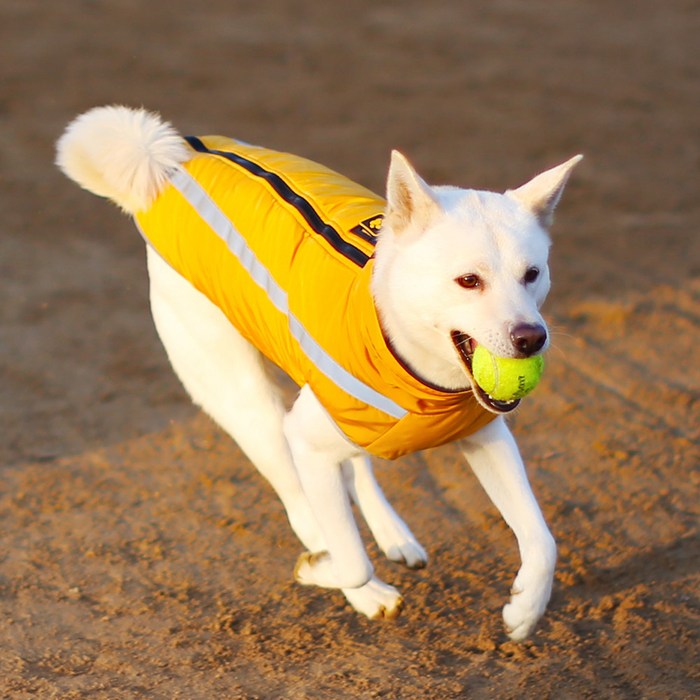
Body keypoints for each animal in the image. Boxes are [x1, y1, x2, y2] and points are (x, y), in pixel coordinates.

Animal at [56, 106, 580, 644]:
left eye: (532, 274)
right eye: (468, 280)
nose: (531, 339)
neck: (413, 366)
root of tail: (170, 162)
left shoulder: (485, 435)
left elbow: (544, 540)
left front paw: (525, 610)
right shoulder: (306, 441)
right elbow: (351, 560)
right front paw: (323, 572)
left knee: (356, 467)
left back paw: (393, 534)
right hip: (252, 409)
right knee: (303, 507)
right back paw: (354, 578)